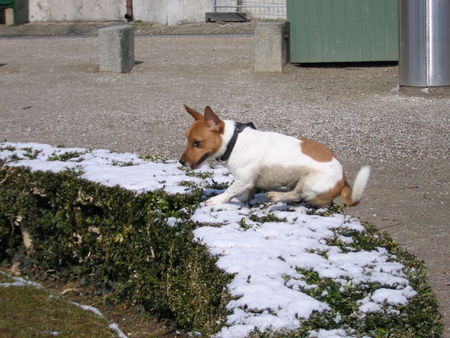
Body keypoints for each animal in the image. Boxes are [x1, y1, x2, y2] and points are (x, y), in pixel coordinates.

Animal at [178, 104, 370, 207]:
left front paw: (217, 199)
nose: (181, 161)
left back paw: (276, 196)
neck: (234, 141)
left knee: (297, 195)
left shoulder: (243, 180)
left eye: (197, 143)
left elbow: (229, 191)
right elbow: (244, 193)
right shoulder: (249, 182)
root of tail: (343, 180)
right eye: (187, 140)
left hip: (310, 182)